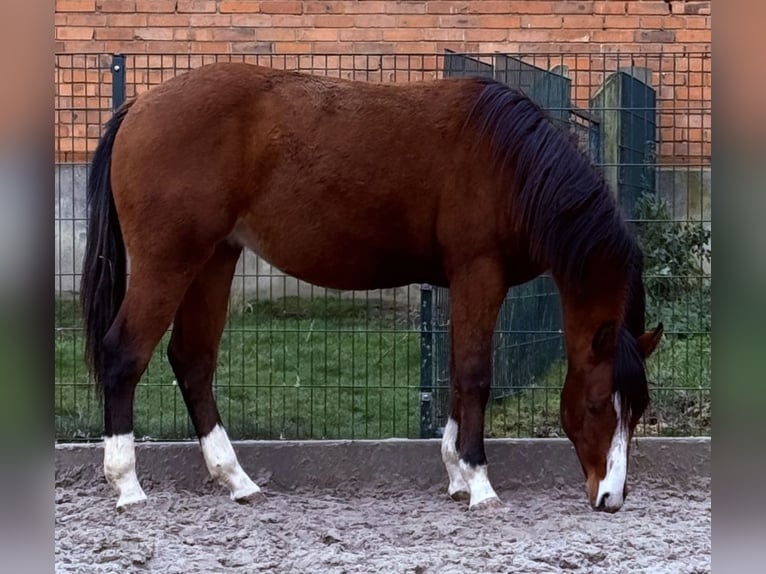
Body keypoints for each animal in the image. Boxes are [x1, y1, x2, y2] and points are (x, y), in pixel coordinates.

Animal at [81, 62, 663, 512]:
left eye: (637, 410)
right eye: (596, 405)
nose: (611, 498)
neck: (509, 163)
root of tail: (140, 105)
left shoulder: (460, 281)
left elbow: (456, 373)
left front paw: (455, 476)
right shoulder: (479, 272)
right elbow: (475, 375)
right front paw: (478, 483)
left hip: (215, 259)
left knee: (193, 360)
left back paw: (237, 480)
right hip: (168, 262)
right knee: (125, 355)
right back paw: (127, 486)